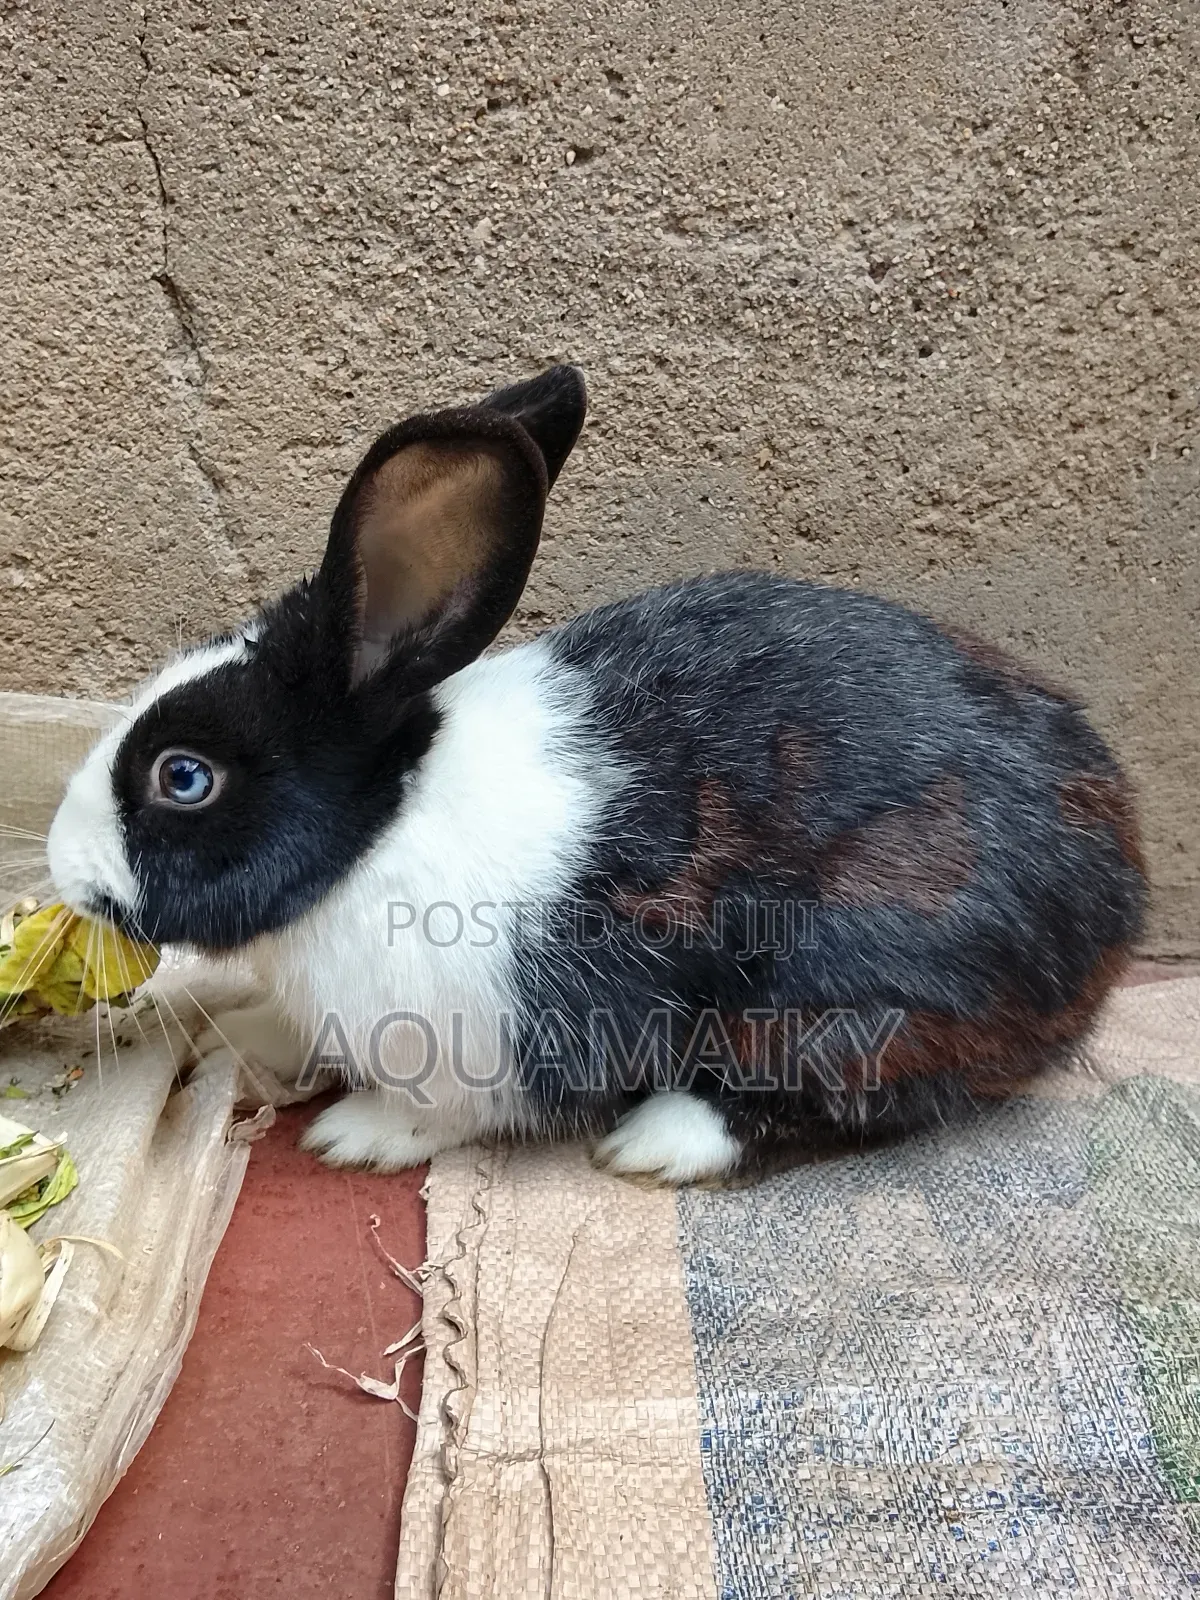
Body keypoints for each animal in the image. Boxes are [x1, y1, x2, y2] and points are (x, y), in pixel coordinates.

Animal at [46, 365, 1147, 1184]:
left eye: (184, 778)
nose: (62, 866)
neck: (381, 832)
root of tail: (1118, 889)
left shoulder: (492, 1036)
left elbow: (445, 1109)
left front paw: (357, 1132)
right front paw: (251, 1039)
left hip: (859, 981)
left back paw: (658, 1141)